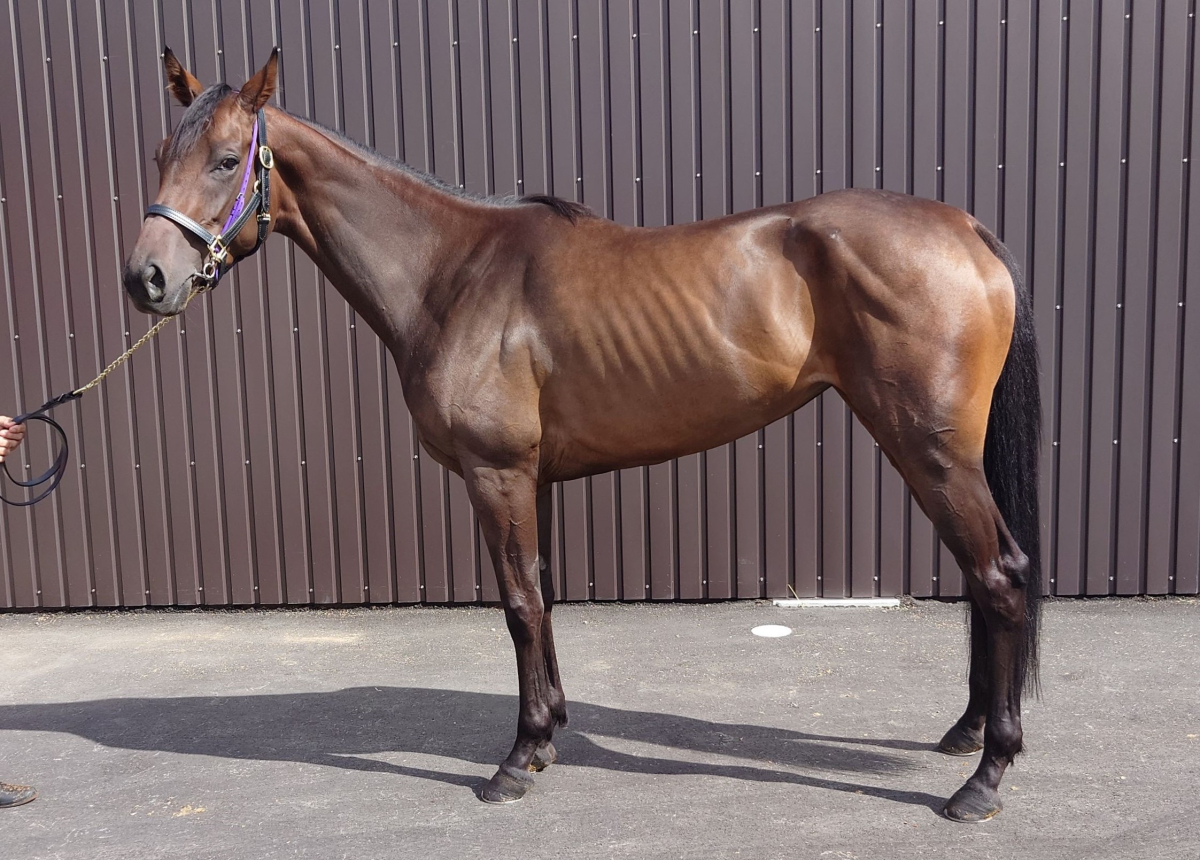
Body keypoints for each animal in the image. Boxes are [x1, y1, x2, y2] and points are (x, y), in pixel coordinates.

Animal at [124, 50, 1041, 820]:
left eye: (225, 159)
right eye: (162, 153)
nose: (147, 279)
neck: (451, 271)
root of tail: (965, 230)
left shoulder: (496, 474)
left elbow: (519, 607)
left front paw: (517, 759)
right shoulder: (534, 480)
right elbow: (542, 595)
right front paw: (548, 735)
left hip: (930, 452)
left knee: (998, 577)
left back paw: (984, 777)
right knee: (982, 577)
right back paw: (965, 732)